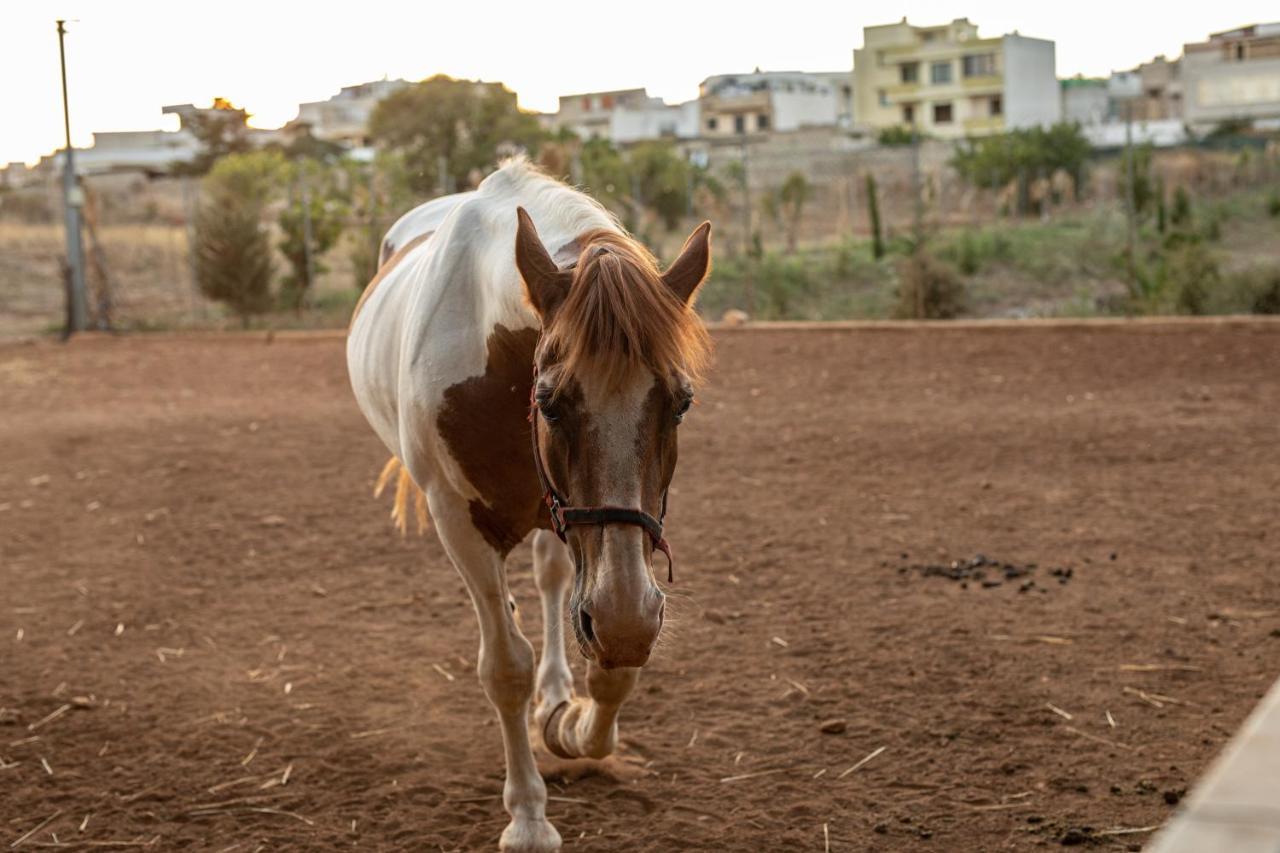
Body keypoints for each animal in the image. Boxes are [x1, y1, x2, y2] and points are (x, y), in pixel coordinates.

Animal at [345, 159, 716, 850]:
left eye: (680, 403)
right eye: (548, 401)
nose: (624, 619)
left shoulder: (601, 558)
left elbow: (612, 661)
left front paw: (572, 725)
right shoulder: (459, 525)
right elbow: (505, 670)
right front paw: (528, 817)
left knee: (551, 583)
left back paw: (558, 690)